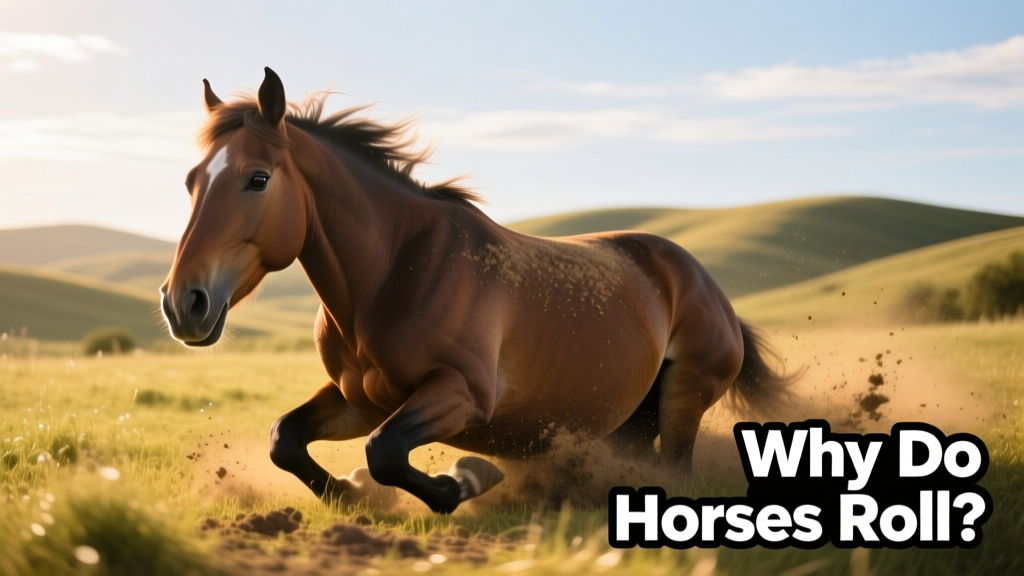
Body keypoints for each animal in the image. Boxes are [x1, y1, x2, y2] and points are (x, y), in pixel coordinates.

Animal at [161, 68, 793, 513]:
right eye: (191, 181)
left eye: (258, 179)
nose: (183, 304)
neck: (393, 274)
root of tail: (702, 281)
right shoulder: (361, 400)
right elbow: (286, 439)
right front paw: (352, 493)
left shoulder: (461, 394)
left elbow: (385, 452)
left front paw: (464, 480)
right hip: (634, 418)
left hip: (685, 396)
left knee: (675, 471)